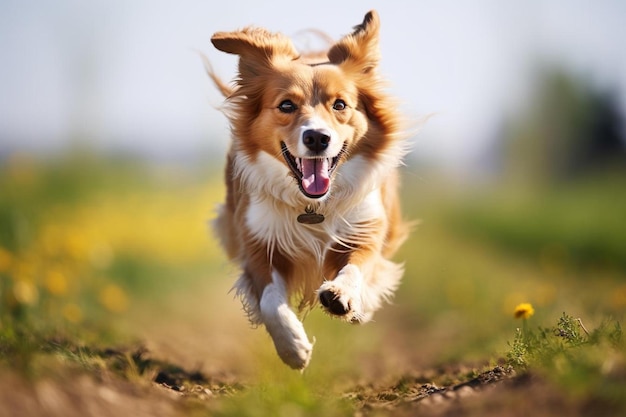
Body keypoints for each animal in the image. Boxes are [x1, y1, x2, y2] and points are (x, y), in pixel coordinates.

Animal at [207, 9, 408, 368]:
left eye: (340, 105)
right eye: (287, 105)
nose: (317, 137)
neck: (313, 204)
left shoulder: (365, 228)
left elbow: (357, 267)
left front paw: (343, 296)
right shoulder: (259, 242)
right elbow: (270, 301)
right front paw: (292, 346)